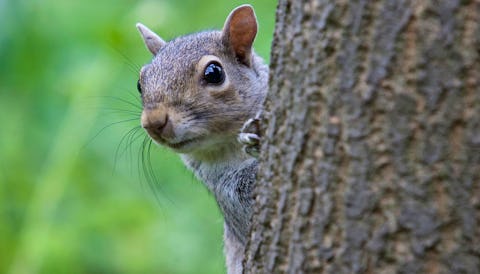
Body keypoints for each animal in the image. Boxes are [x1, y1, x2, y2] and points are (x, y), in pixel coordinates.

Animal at [137, 4, 268, 274]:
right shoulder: (227, 193)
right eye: (139, 83)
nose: (153, 122)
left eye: (214, 73)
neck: (227, 145)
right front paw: (254, 138)